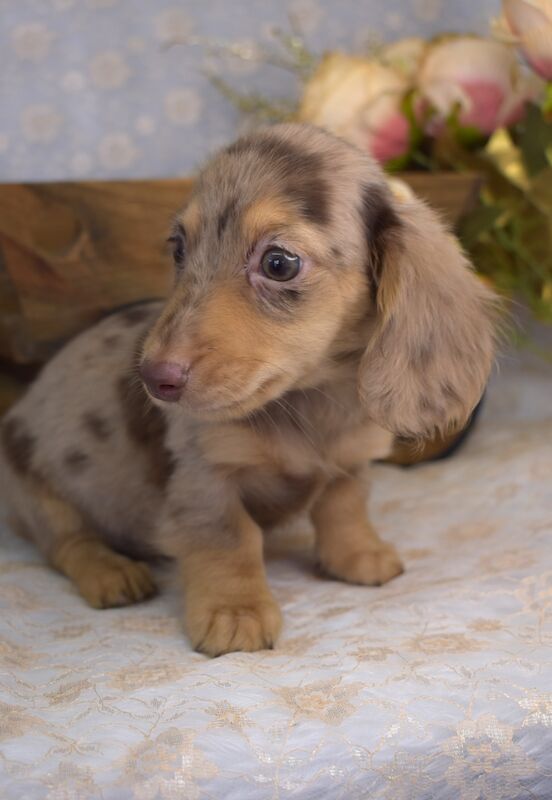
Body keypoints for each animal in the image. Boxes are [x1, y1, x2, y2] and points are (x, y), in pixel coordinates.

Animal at [0, 122, 498, 652]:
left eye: (279, 263)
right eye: (178, 247)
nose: (153, 378)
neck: (307, 402)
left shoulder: (350, 460)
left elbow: (344, 506)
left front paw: (358, 555)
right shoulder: (205, 477)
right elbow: (230, 538)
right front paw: (235, 612)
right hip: (37, 492)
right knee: (68, 543)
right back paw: (111, 572)